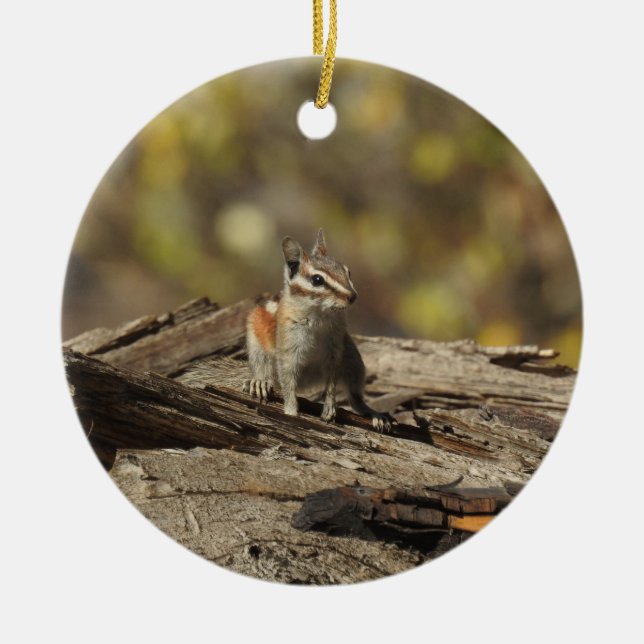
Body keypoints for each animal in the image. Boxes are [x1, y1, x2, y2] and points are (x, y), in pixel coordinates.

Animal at [242, 229, 393, 432]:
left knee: (355, 399)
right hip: (257, 346)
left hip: (353, 359)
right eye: (317, 279)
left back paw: (375, 414)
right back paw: (259, 382)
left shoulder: (334, 350)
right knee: (266, 372)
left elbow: (331, 382)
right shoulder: (289, 348)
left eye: (348, 271)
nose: (352, 296)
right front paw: (291, 411)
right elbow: (288, 382)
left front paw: (329, 406)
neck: (319, 315)